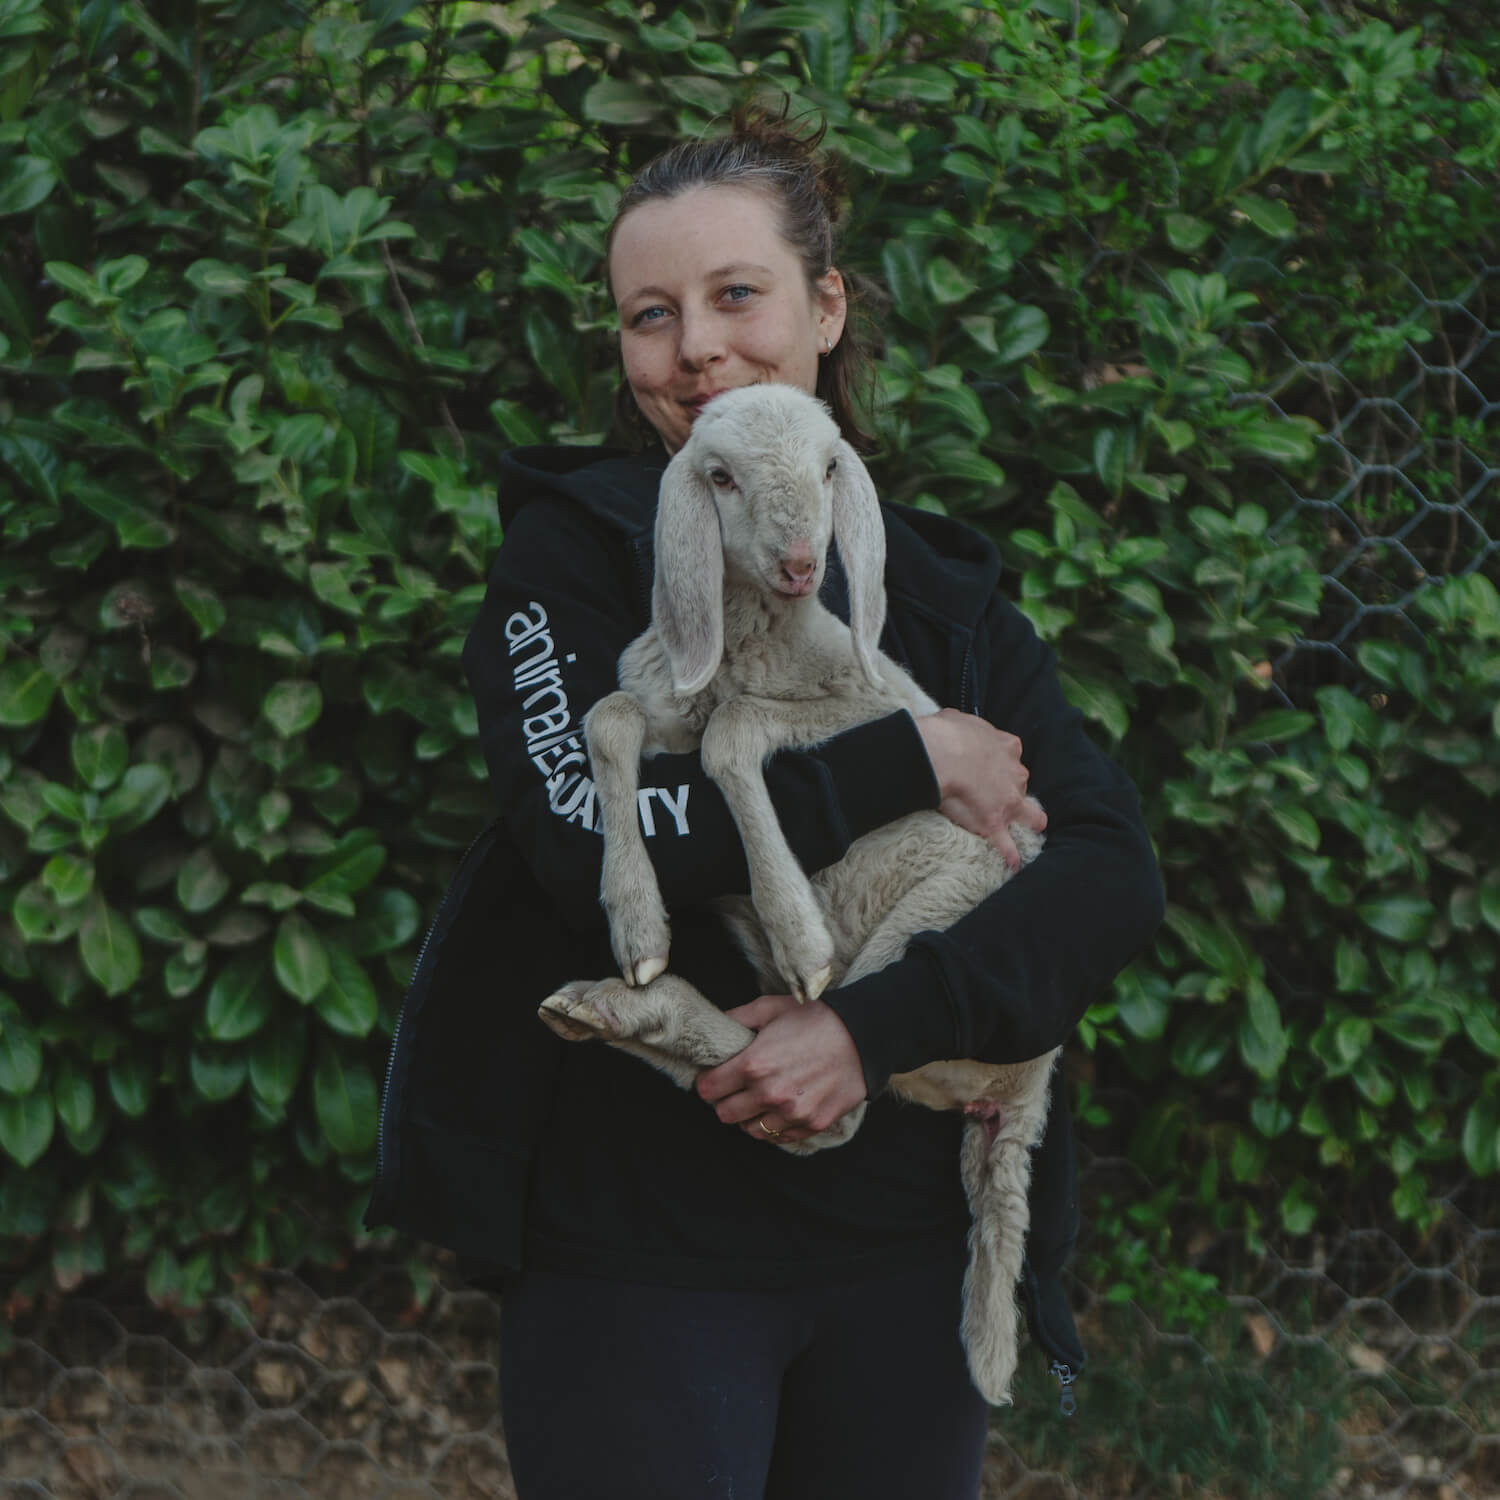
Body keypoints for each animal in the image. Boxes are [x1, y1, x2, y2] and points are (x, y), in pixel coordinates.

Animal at [534, 378, 1062, 1404]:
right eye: (721, 477)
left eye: (828, 468)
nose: (798, 564)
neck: (750, 639)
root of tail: (1025, 1096)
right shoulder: (657, 698)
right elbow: (607, 718)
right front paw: (637, 922)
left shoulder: (857, 707)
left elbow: (735, 730)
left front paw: (796, 924)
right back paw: (619, 1008)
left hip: (940, 920)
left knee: (834, 1099)